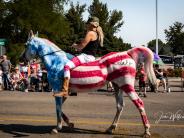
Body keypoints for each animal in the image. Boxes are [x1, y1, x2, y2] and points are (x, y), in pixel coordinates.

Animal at [20, 32, 157, 137]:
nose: (22, 59)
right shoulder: (63, 91)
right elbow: (60, 108)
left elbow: (58, 108)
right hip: (117, 86)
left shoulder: (57, 88)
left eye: (26, 45)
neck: (55, 61)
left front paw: (57, 127)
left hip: (127, 86)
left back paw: (146, 130)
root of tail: (127, 53)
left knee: (139, 103)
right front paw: (69, 123)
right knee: (120, 106)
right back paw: (111, 128)